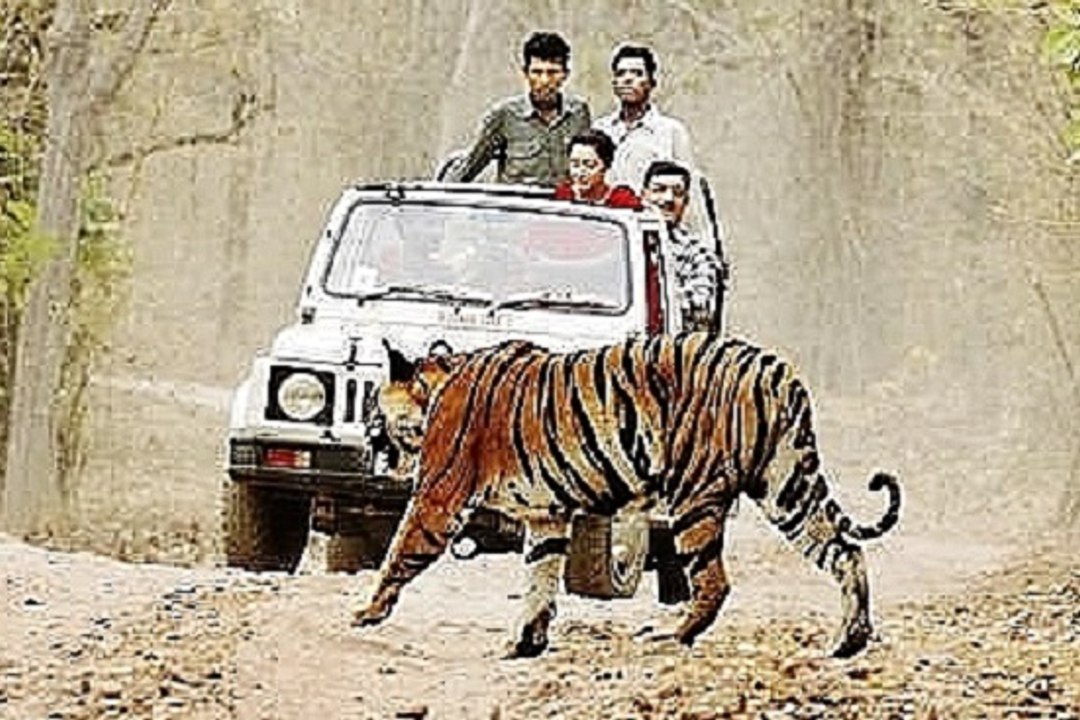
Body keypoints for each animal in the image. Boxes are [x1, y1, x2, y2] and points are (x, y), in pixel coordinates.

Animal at [353, 333, 902, 659]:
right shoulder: (548, 516)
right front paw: (525, 642)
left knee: (714, 582)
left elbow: (399, 550)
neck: (437, 386)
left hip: (693, 495)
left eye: (375, 412)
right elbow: (539, 578)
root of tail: (777, 370)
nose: (367, 444)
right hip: (785, 488)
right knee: (845, 551)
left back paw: (670, 636)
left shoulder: (438, 497)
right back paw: (849, 640)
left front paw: (366, 613)